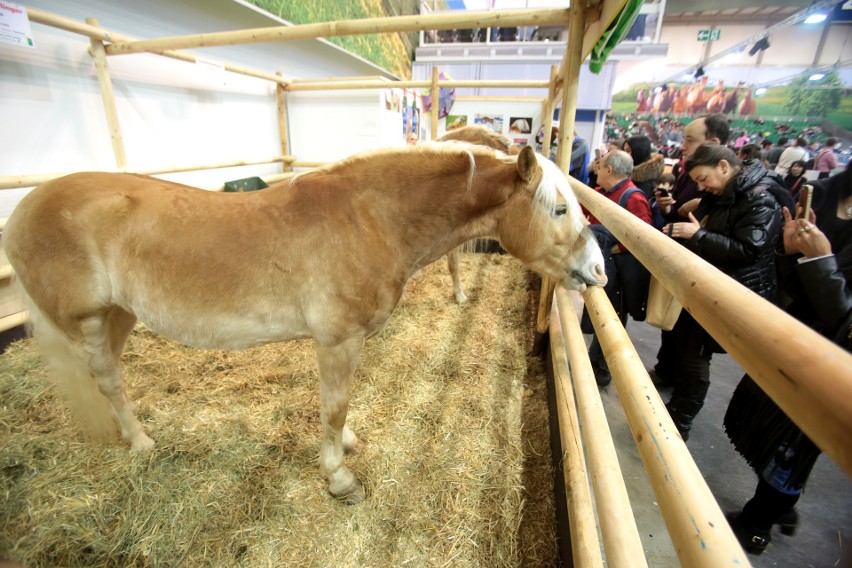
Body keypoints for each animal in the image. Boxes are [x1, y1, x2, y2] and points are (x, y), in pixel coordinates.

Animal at [5, 144, 604, 504]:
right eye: (558, 210)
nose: (596, 271)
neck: (369, 218)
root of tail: (24, 209)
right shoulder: (336, 341)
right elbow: (333, 406)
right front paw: (338, 477)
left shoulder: (347, 343)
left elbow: (342, 405)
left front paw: (348, 444)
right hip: (87, 322)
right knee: (107, 382)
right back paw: (141, 443)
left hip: (121, 314)